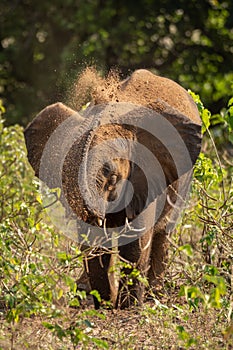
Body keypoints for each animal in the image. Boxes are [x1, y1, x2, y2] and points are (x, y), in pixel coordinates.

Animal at [24, 69, 202, 308]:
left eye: (113, 178)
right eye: (65, 177)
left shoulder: (147, 176)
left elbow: (136, 242)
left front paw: (127, 308)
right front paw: (105, 306)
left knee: (164, 232)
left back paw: (154, 297)